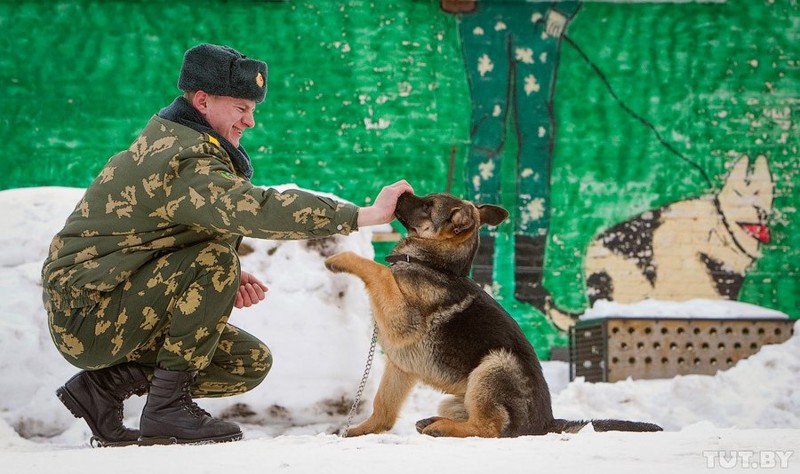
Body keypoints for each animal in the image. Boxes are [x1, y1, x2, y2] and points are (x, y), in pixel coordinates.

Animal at [324, 193, 664, 436]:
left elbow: (380, 271)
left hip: (493, 366)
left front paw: (342, 258)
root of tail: (548, 422)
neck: (434, 265)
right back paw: (434, 422)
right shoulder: (400, 366)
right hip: (456, 396)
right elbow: (383, 408)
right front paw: (359, 431)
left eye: (428, 205)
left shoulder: (401, 320)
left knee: (488, 428)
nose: (398, 193)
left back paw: (441, 428)